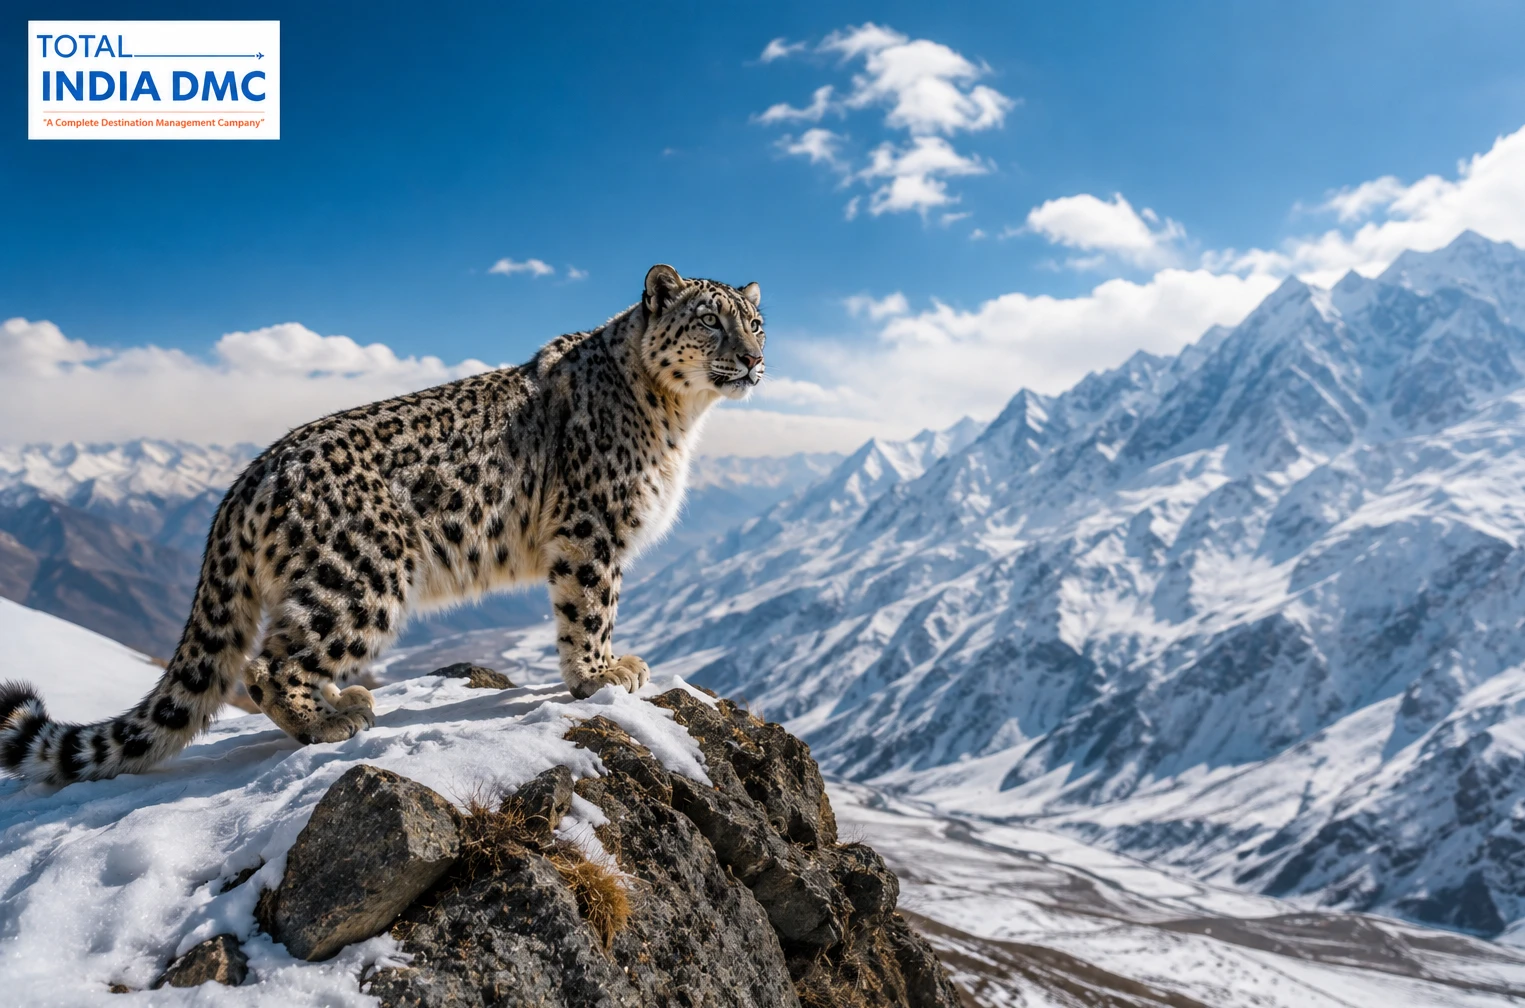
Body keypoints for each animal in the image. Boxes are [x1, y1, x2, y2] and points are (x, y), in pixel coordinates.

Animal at [0, 265, 765, 786]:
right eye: (708, 320)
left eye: (754, 323)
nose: (755, 360)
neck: (679, 419)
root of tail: (249, 477)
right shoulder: (593, 526)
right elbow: (591, 604)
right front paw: (601, 673)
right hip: (366, 575)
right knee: (268, 663)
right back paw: (332, 717)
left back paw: (341, 698)